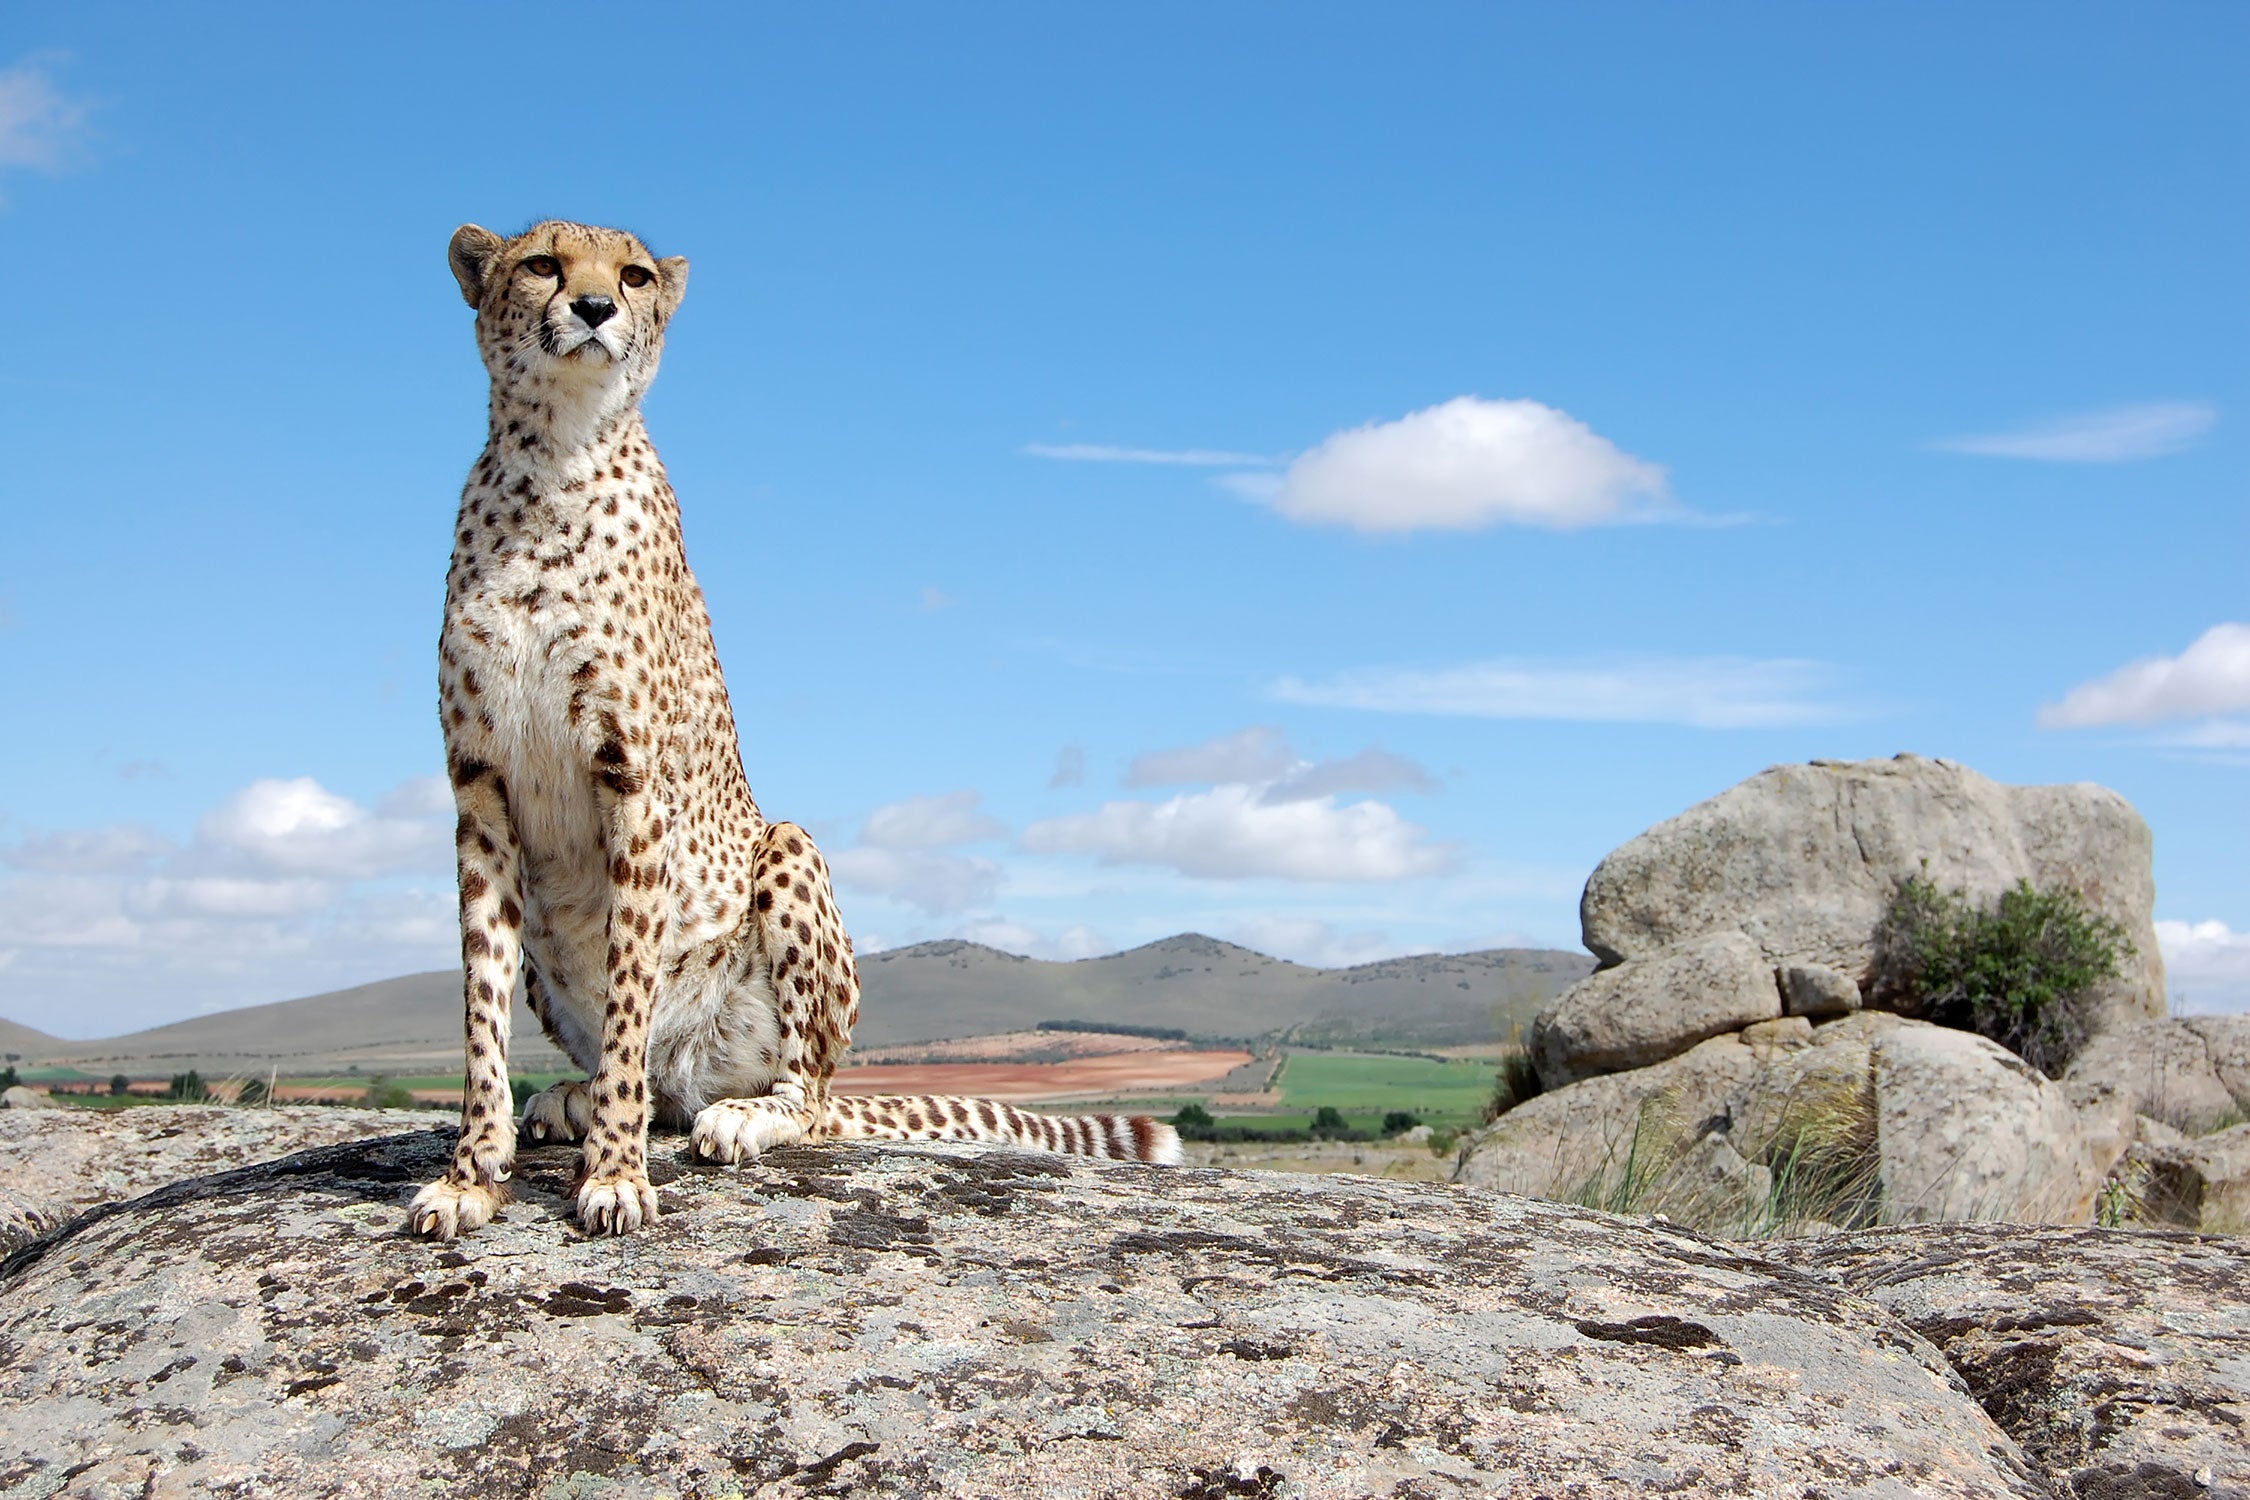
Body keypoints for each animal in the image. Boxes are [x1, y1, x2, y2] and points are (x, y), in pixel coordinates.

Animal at [409, 213, 1179, 1241]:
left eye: (634, 275)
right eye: (541, 264)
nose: (595, 307)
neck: (555, 464)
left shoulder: (632, 781)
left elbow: (626, 997)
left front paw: (614, 1173)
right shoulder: (480, 786)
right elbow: (480, 1004)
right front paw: (471, 1174)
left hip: (789, 852)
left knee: (795, 1096)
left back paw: (734, 1115)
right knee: (649, 1076)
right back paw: (572, 1100)